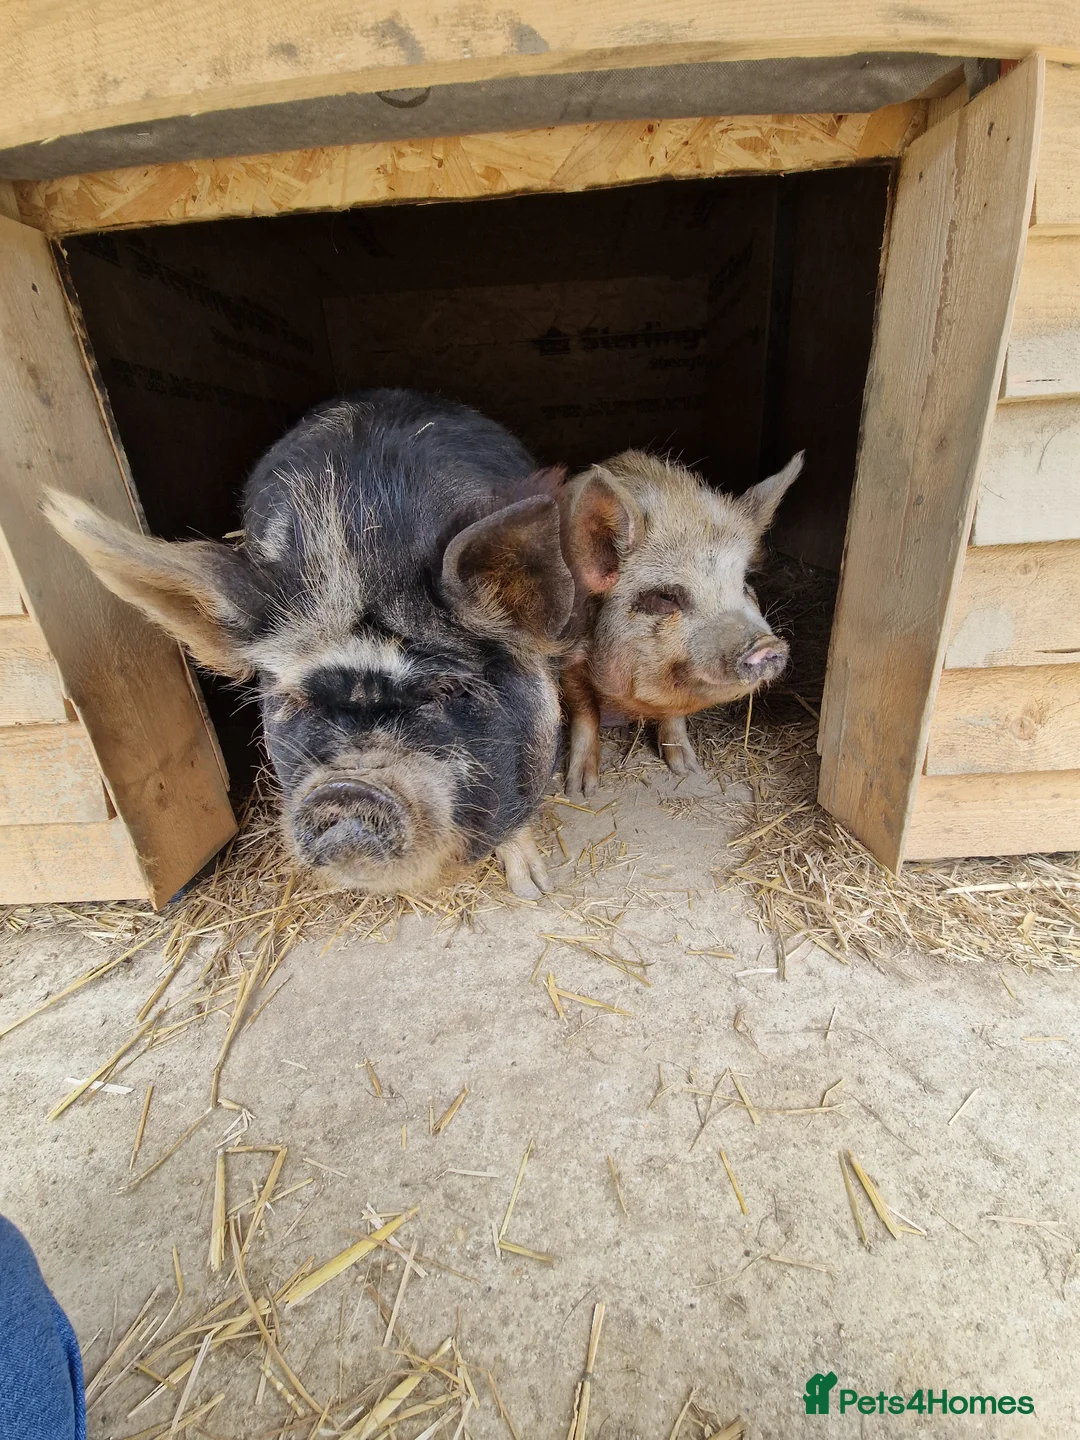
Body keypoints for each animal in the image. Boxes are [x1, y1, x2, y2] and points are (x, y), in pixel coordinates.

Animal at [559, 448, 803, 796]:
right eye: (666, 597)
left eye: (744, 582)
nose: (766, 645)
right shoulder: (565, 655)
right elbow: (584, 711)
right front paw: (582, 790)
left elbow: (674, 713)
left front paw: (688, 769)